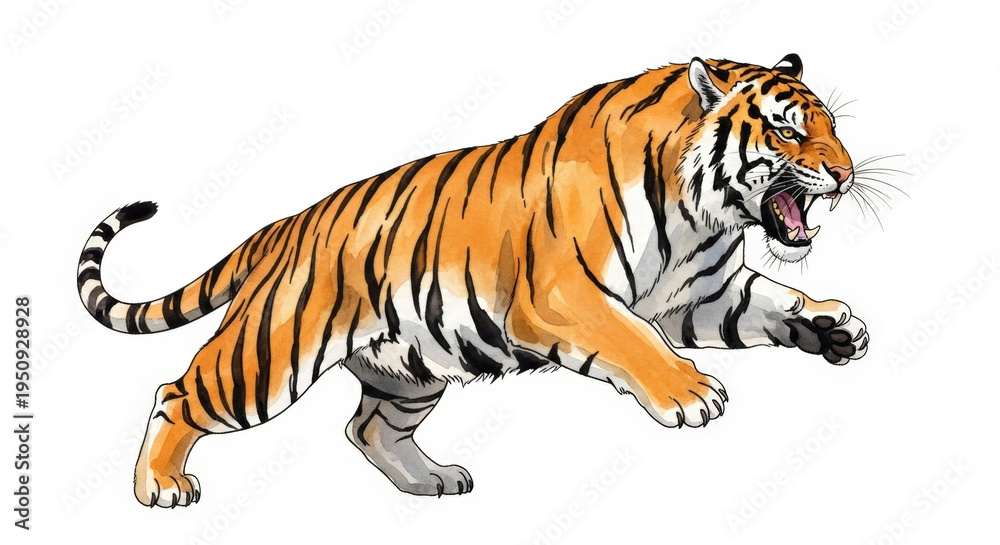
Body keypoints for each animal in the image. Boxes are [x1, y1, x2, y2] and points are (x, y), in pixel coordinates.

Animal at [77, 54, 869, 508]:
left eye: (833, 126)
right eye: (790, 131)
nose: (845, 173)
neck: (702, 212)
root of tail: (282, 227)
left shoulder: (703, 295)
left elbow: (773, 299)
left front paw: (834, 324)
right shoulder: (564, 294)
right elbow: (632, 336)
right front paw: (690, 392)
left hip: (411, 369)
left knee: (365, 425)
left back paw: (432, 480)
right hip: (267, 358)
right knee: (178, 394)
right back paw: (160, 486)